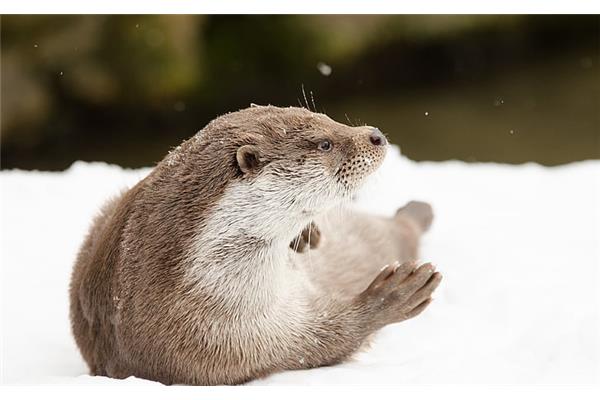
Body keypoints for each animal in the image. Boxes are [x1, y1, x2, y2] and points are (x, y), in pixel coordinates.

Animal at [70, 105, 440, 384]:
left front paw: (308, 235)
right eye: (324, 144)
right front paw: (393, 295)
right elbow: (320, 343)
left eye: (327, 118)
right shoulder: (228, 343)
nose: (375, 134)